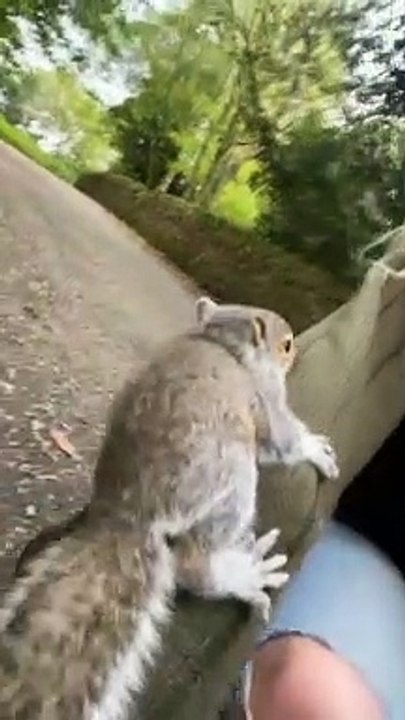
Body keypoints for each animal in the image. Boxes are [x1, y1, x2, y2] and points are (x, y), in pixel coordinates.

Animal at [0, 298, 338, 720]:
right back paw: (237, 575)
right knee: (194, 566)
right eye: (287, 343)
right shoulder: (265, 401)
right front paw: (315, 448)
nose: (292, 354)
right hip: (232, 480)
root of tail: (129, 513)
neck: (225, 342)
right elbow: (285, 439)